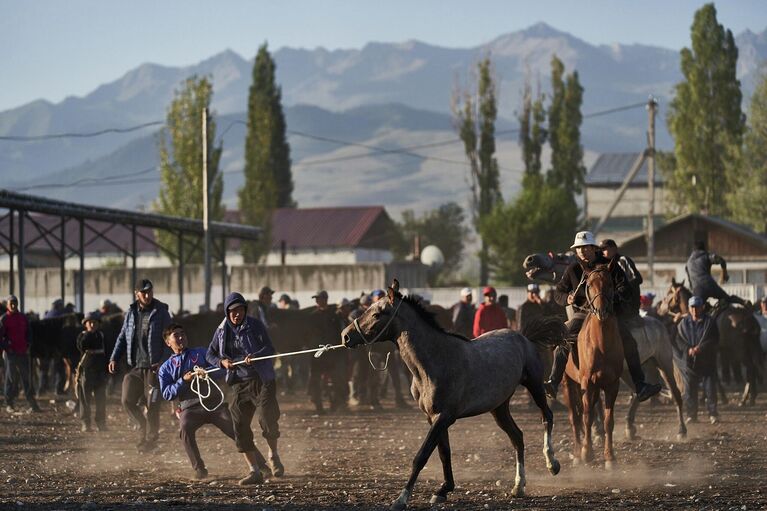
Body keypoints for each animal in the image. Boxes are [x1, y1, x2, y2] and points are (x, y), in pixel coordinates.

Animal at [342, 282, 564, 510]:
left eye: (377, 313)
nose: (346, 336)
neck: (434, 362)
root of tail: (524, 338)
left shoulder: (444, 417)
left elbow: (422, 455)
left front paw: (401, 499)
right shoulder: (433, 417)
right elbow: (443, 452)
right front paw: (443, 490)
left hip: (534, 386)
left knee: (547, 416)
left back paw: (552, 464)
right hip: (499, 407)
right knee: (517, 437)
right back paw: (518, 486)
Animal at [564, 262, 624, 470]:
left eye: (610, 283)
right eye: (589, 285)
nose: (602, 311)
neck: (601, 344)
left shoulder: (612, 385)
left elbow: (608, 421)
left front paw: (610, 458)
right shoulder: (587, 383)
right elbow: (587, 417)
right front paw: (586, 453)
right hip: (568, 383)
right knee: (575, 418)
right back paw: (576, 453)